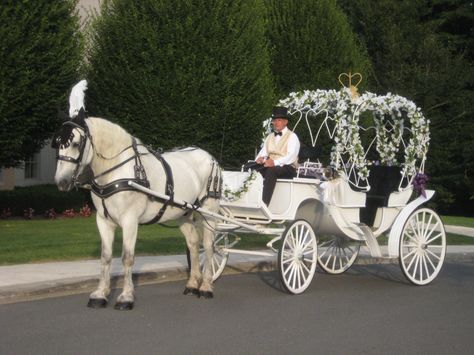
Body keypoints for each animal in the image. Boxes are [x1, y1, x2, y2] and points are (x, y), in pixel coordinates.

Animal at [53, 82, 220, 310]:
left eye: (76, 143)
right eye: (57, 142)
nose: (61, 182)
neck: (117, 171)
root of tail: (209, 156)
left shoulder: (130, 220)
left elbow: (127, 257)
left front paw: (126, 296)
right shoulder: (103, 220)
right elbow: (106, 257)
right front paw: (100, 294)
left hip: (209, 211)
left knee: (210, 246)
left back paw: (206, 287)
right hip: (183, 213)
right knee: (194, 243)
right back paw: (193, 284)